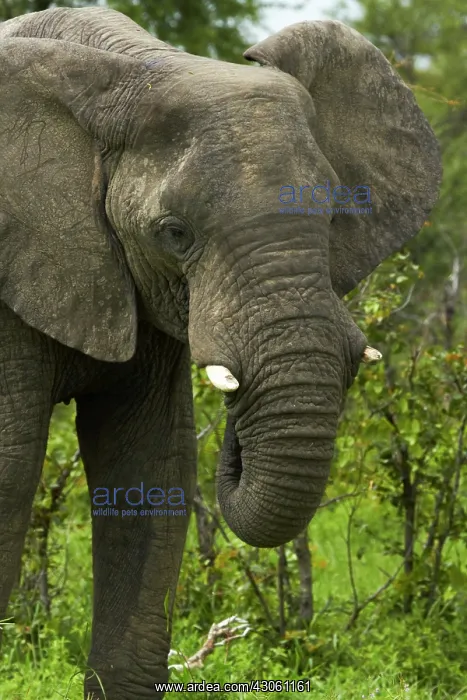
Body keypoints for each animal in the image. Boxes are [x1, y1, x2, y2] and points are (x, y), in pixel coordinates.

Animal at [0, 6, 441, 699]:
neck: (136, 62)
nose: (236, 430)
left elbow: (152, 470)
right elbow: (11, 469)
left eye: (335, 216)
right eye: (174, 233)